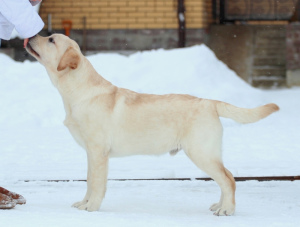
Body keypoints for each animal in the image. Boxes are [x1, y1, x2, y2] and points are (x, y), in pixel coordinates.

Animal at [25, 34, 278, 215]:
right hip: (207, 154)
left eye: (51, 39)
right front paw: (83, 203)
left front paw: (92, 207)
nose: (30, 36)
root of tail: (210, 102)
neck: (77, 90)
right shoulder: (91, 154)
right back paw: (220, 205)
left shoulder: (98, 152)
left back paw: (227, 210)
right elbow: (89, 182)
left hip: (201, 153)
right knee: (226, 178)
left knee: (228, 179)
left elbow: (96, 184)